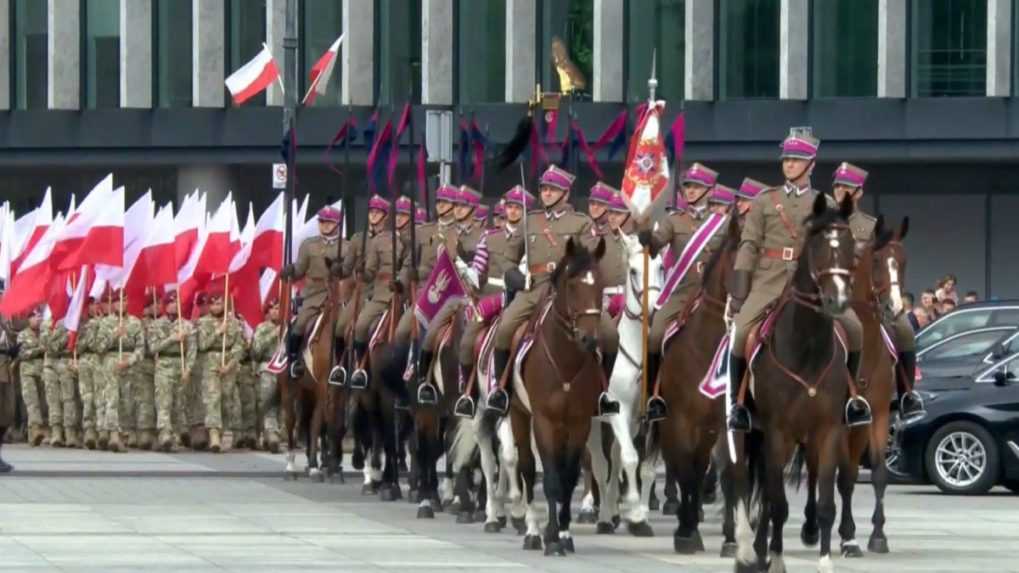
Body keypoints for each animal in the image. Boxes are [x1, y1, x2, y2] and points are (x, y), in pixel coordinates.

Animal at [499, 236, 603, 554]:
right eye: (572, 284)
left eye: (601, 284)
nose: (589, 338)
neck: (566, 361)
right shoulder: (544, 421)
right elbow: (551, 480)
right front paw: (551, 537)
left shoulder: (579, 423)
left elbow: (567, 478)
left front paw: (564, 534)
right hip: (520, 415)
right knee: (527, 468)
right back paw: (533, 531)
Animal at [586, 229, 664, 534]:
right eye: (633, 271)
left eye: (661, 267)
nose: (653, 309)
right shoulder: (617, 412)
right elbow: (628, 459)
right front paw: (634, 512)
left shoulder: (645, 419)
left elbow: (638, 463)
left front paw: (636, 512)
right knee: (599, 462)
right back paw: (603, 515)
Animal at [733, 192, 860, 570]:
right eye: (817, 245)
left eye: (851, 246)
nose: (837, 301)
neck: (806, 347)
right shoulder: (778, 433)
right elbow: (777, 504)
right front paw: (775, 559)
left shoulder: (828, 431)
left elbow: (826, 504)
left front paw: (825, 561)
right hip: (749, 432)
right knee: (744, 481)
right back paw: (748, 549)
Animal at [798, 213, 913, 554]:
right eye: (875, 260)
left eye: (902, 261)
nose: (894, 308)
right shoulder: (839, 421)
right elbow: (842, 476)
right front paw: (847, 533)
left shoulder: (875, 415)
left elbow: (875, 472)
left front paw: (876, 534)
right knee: (812, 467)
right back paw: (810, 527)